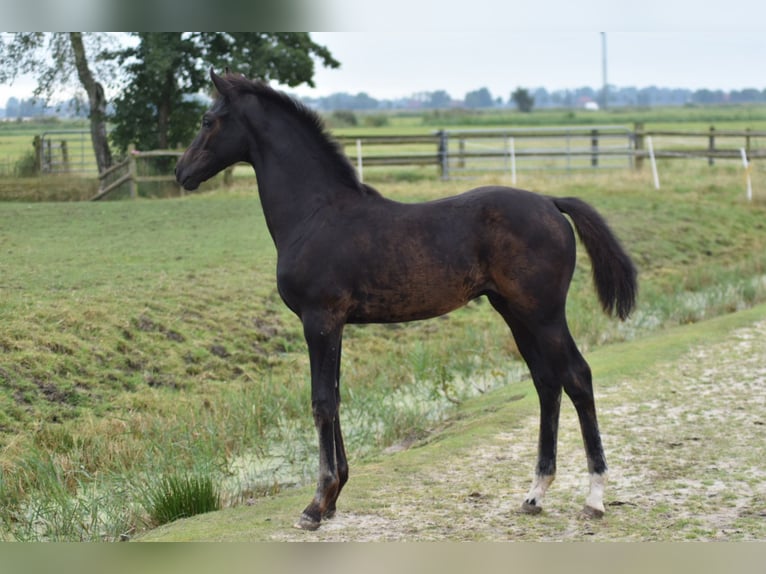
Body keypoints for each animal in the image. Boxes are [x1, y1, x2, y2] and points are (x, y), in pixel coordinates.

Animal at [177, 70, 640, 532]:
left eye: (206, 120)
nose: (181, 171)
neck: (316, 214)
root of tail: (551, 203)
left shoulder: (319, 319)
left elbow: (321, 402)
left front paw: (316, 505)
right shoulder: (334, 325)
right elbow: (336, 397)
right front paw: (333, 497)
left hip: (543, 314)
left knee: (576, 376)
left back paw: (594, 498)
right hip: (514, 312)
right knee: (547, 382)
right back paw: (535, 494)